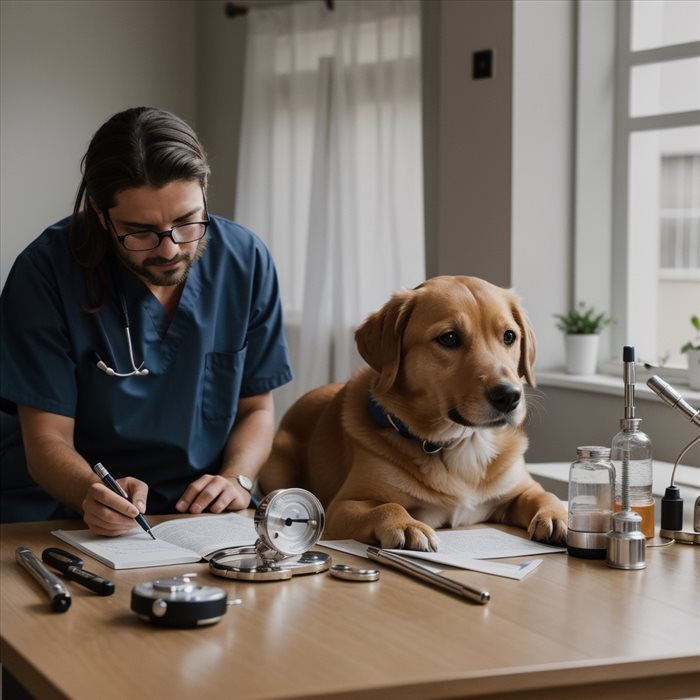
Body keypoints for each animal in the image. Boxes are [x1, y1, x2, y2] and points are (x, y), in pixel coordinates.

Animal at [260, 276, 568, 548]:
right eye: (449, 338)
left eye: (509, 336)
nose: (509, 396)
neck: (461, 442)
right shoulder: (341, 506)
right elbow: (388, 506)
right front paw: (406, 525)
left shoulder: (520, 489)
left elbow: (545, 495)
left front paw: (560, 516)